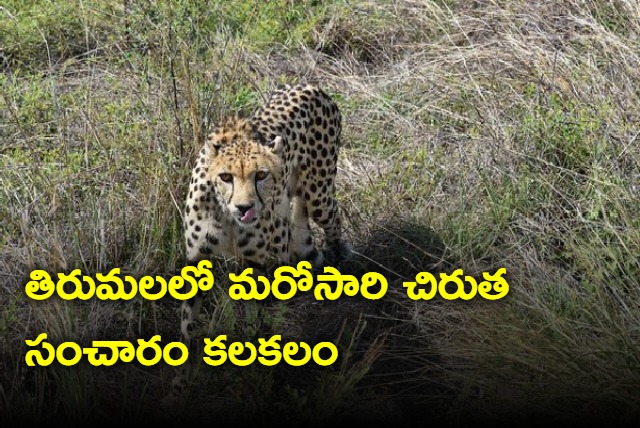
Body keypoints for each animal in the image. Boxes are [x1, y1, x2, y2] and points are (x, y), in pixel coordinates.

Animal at [168, 84, 348, 402]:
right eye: (225, 176)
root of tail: (309, 86)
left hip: (319, 195)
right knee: (300, 243)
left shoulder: (254, 264)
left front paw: (249, 375)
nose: (245, 208)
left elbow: (252, 323)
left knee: (332, 222)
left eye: (261, 174)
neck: (227, 216)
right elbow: (187, 330)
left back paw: (337, 263)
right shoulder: (197, 261)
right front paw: (180, 386)